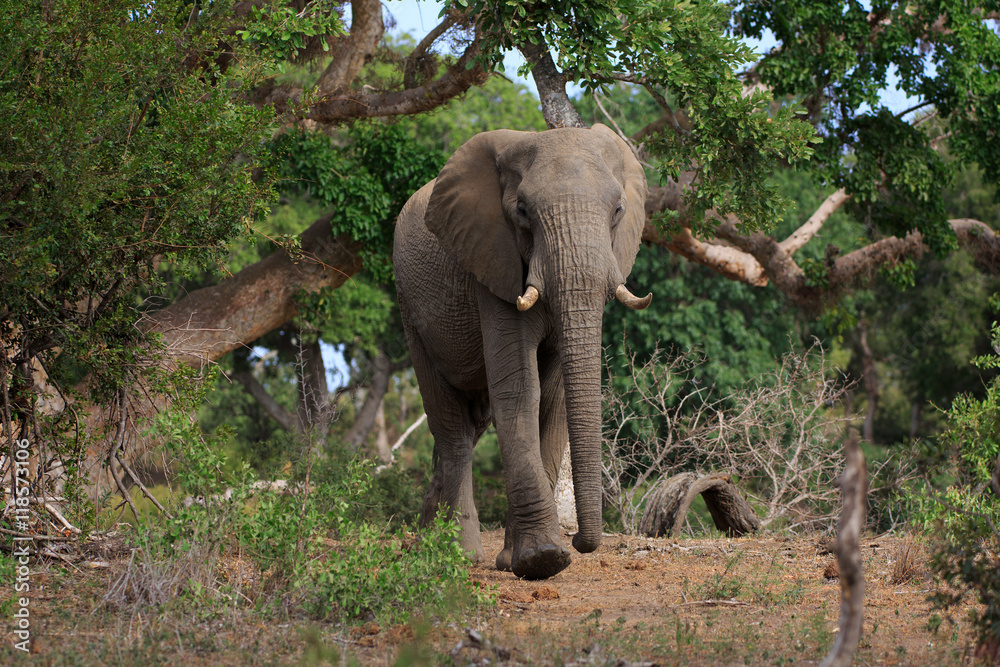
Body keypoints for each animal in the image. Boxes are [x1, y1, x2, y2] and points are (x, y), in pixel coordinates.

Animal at [393, 123, 651, 580]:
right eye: (523, 212)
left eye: (619, 209)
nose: (581, 542)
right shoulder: (492, 260)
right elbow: (520, 388)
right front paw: (542, 560)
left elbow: (554, 396)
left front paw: (521, 559)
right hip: (410, 309)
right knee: (452, 427)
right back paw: (457, 556)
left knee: (471, 424)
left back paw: (431, 545)